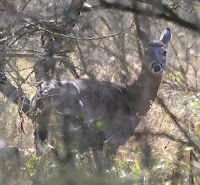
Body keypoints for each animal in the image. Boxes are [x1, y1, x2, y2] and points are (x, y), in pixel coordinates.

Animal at [30, 27, 171, 171]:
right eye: (146, 51)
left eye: (164, 51)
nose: (156, 66)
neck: (133, 99)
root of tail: (44, 93)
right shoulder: (112, 137)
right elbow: (105, 168)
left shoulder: (98, 140)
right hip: (70, 127)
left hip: (40, 126)